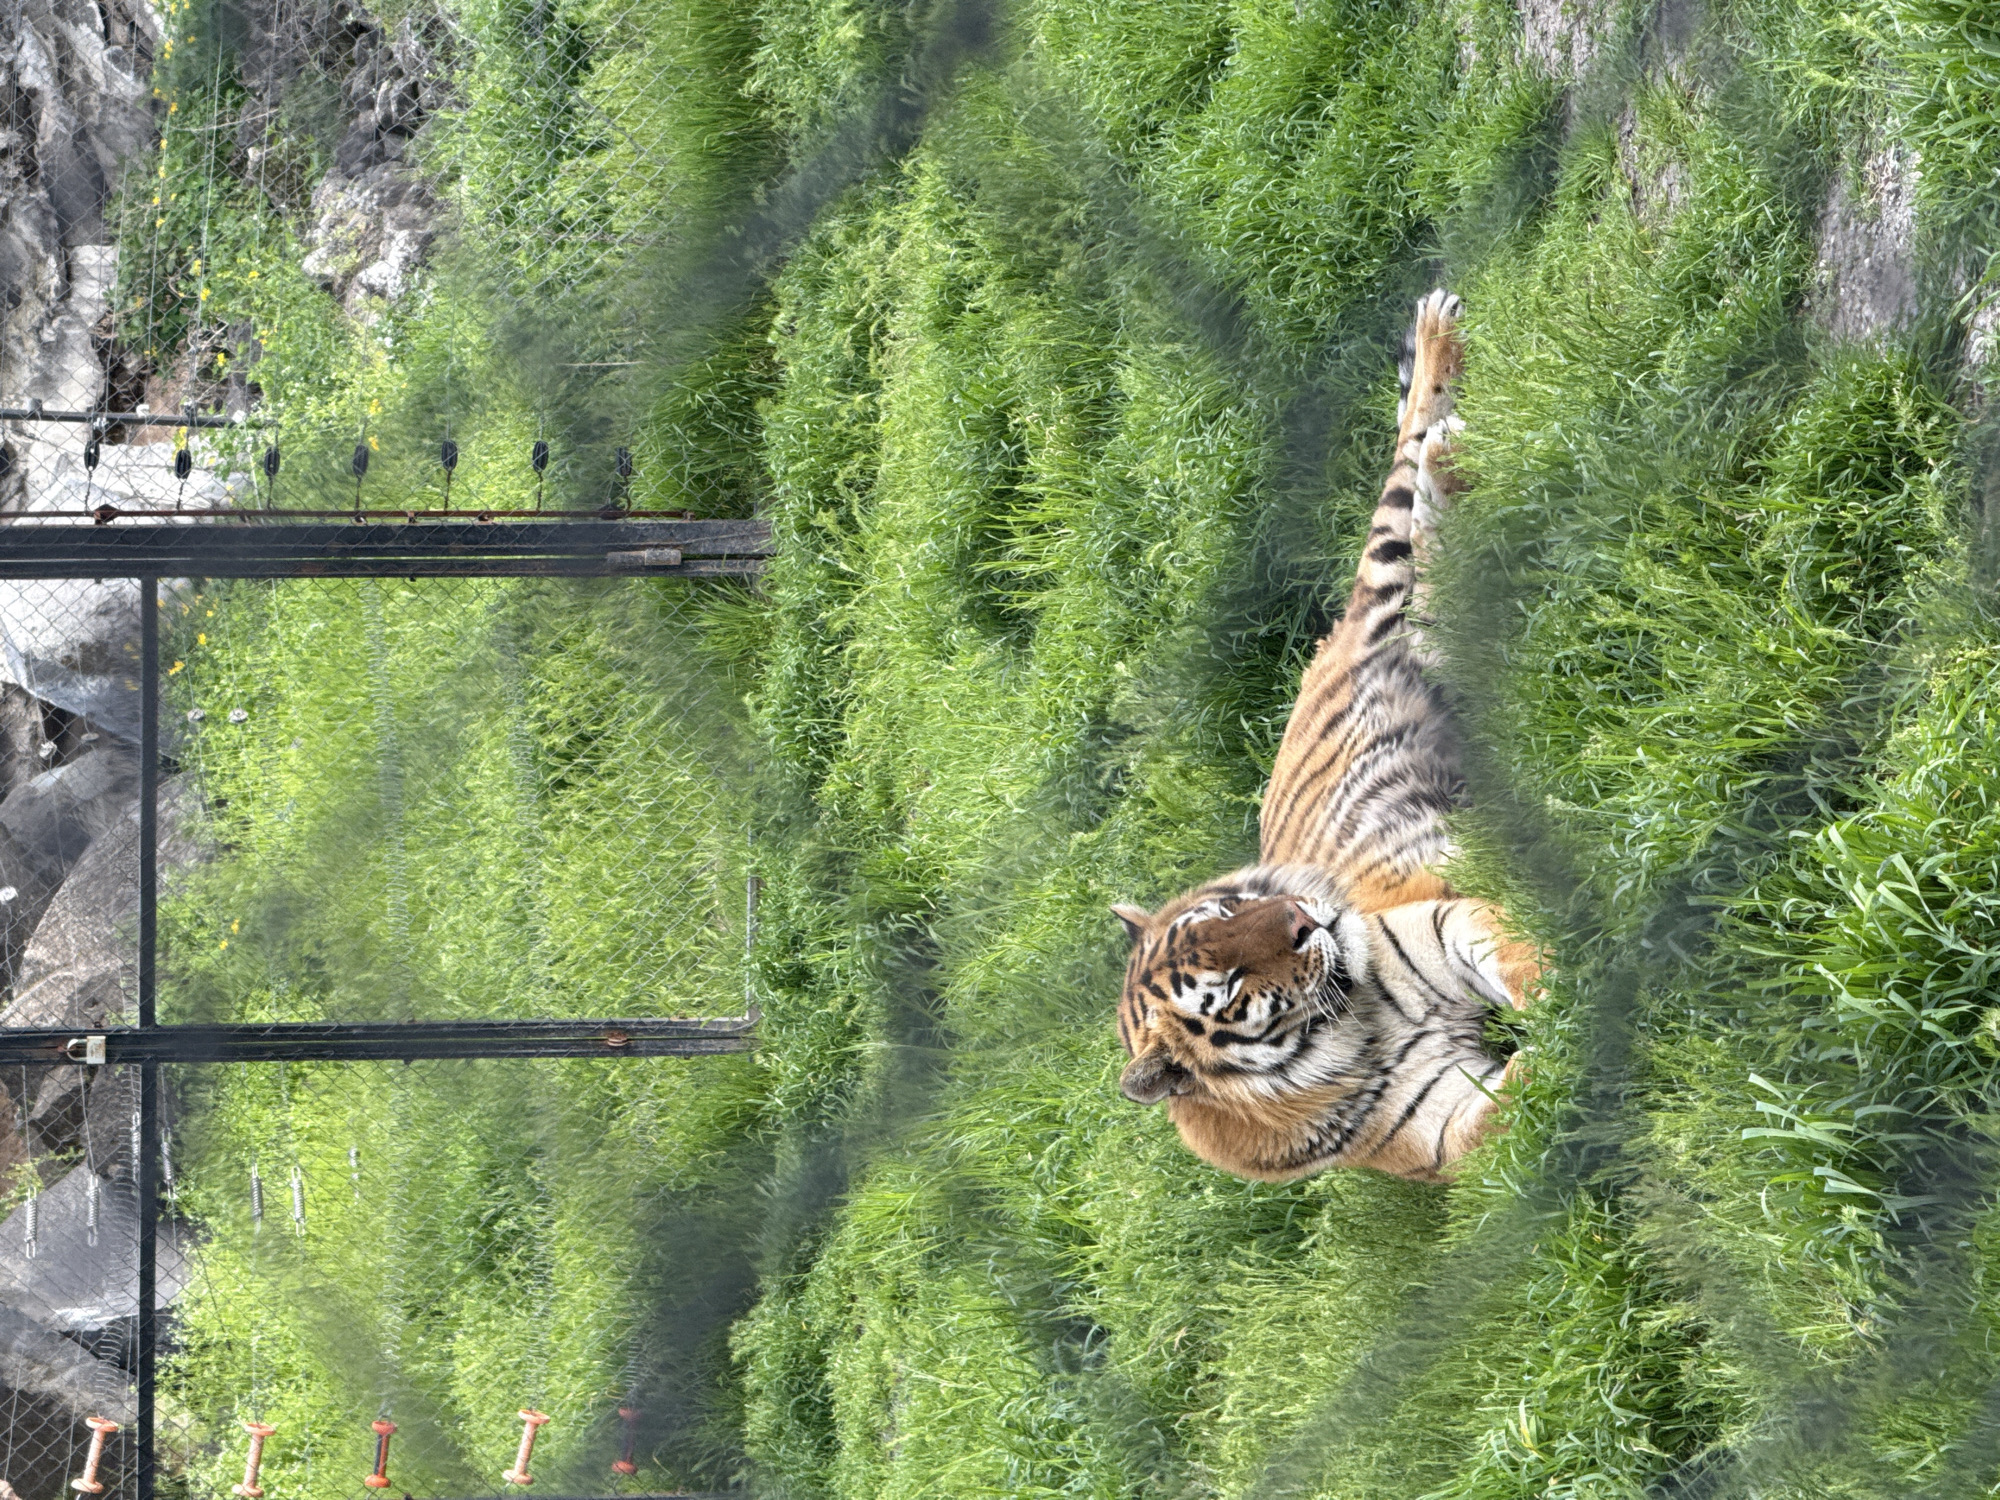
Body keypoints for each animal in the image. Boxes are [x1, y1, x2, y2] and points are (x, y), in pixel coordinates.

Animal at [1111, 289, 1540, 1184]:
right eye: (1227, 983)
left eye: (1233, 908)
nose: (1306, 920)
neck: (1339, 1036)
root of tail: (1334, 638)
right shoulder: (1438, 1125)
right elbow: (1510, 1114)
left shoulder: (1442, 923)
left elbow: (1516, 951)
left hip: (1385, 576)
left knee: (1407, 463)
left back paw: (1438, 359)